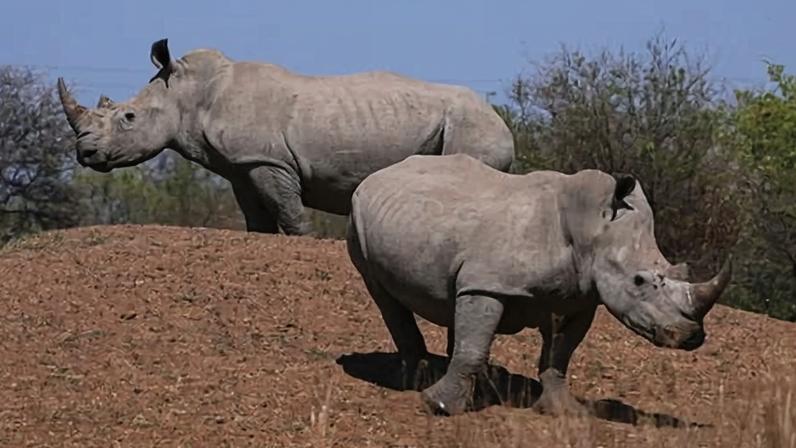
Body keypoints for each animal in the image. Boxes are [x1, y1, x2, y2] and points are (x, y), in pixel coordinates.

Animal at [56, 39, 515, 235]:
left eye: (128, 117)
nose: (85, 153)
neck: (190, 94)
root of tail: (502, 120)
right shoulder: (241, 166)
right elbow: (256, 219)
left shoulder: (268, 160)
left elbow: (290, 214)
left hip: (471, 127)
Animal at [345, 153, 731, 416]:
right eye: (638, 280)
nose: (691, 336)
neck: (591, 228)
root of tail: (384, 171)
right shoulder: (490, 283)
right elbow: (475, 345)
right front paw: (437, 406)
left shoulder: (581, 296)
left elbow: (560, 353)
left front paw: (564, 410)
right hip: (357, 215)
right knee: (382, 292)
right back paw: (418, 379)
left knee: (457, 305)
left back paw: (483, 381)